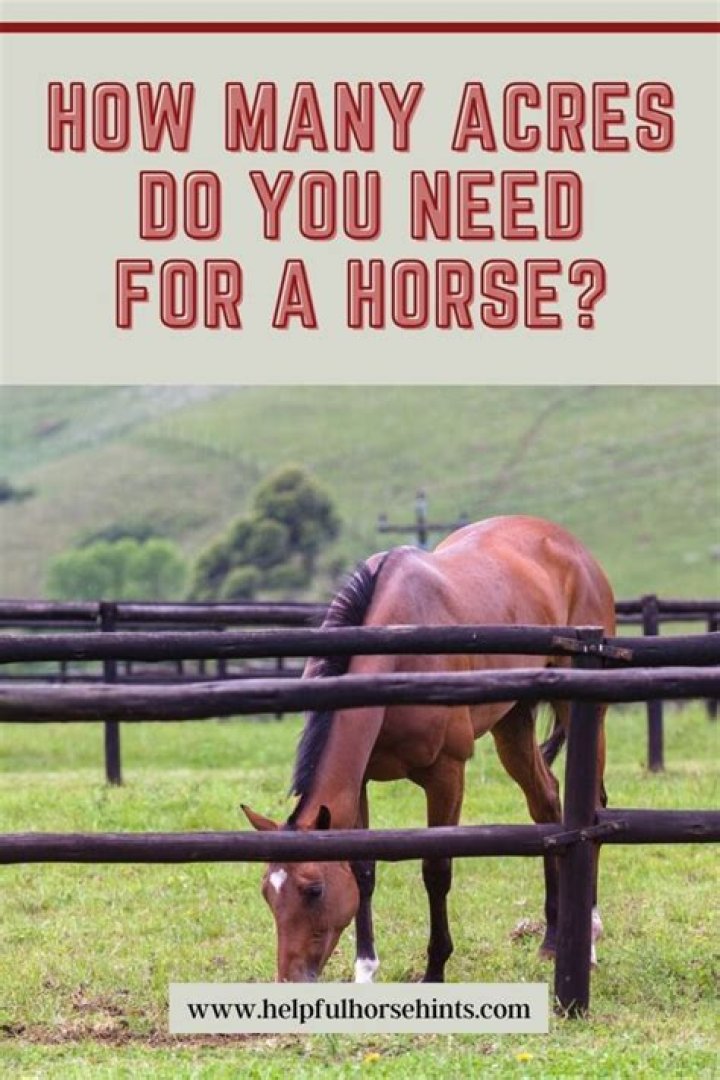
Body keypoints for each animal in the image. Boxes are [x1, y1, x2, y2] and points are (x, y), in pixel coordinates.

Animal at [242, 515, 615, 983]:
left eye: (314, 889)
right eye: (267, 892)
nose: (290, 979)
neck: (397, 649)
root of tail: (571, 546)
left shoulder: (446, 774)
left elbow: (436, 870)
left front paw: (435, 968)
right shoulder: (360, 780)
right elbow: (364, 870)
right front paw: (365, 970)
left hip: (581, 710)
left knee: (593, 808)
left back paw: (590, 936)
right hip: (512, 721)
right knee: (546, 802)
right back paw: (550, 940)